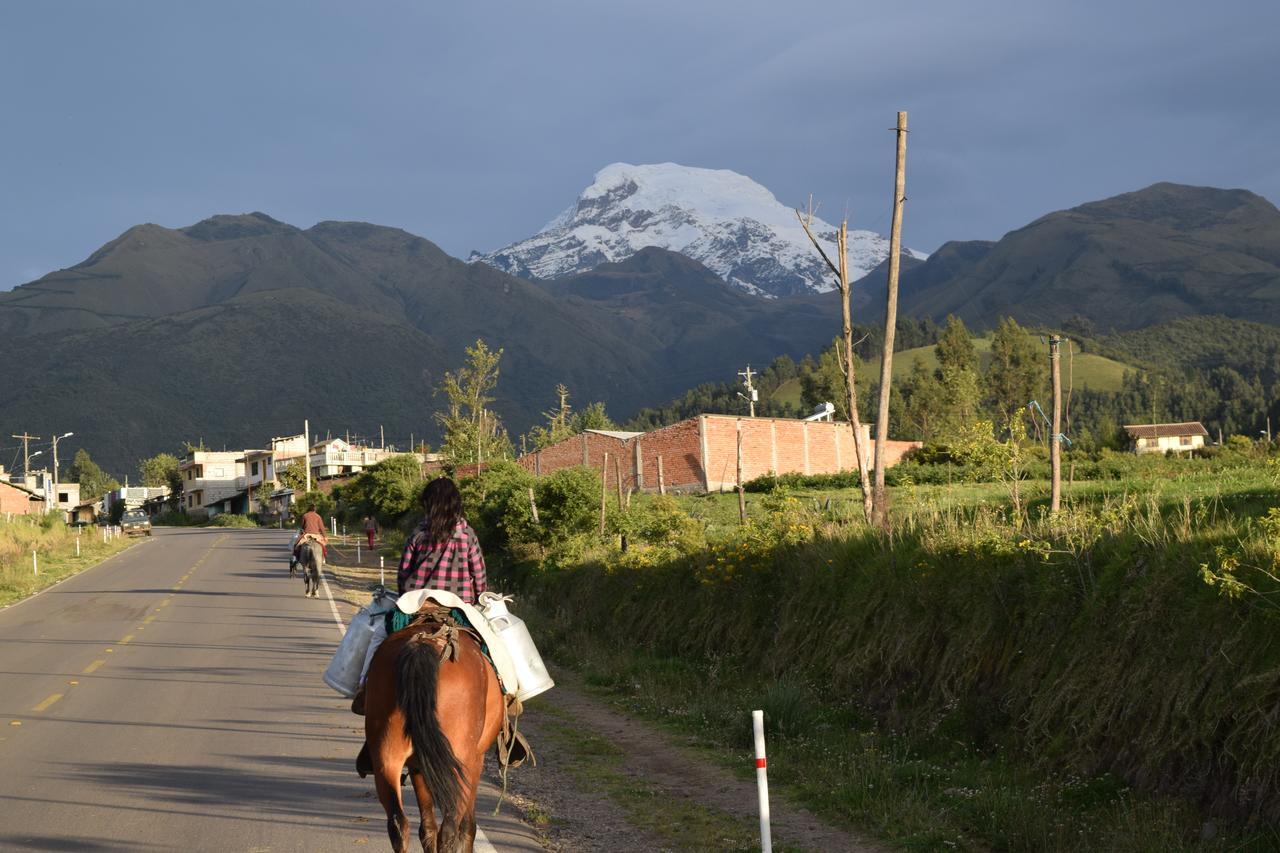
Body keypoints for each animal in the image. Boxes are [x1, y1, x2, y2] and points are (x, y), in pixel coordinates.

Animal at [366, 607, 504, 845]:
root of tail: (421, 645)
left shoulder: (418, 765)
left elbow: (427, 827)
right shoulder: (476, 762)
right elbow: (467, 827)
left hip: (386, 756)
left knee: (398, 824)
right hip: (460, 762)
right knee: (450, 828)